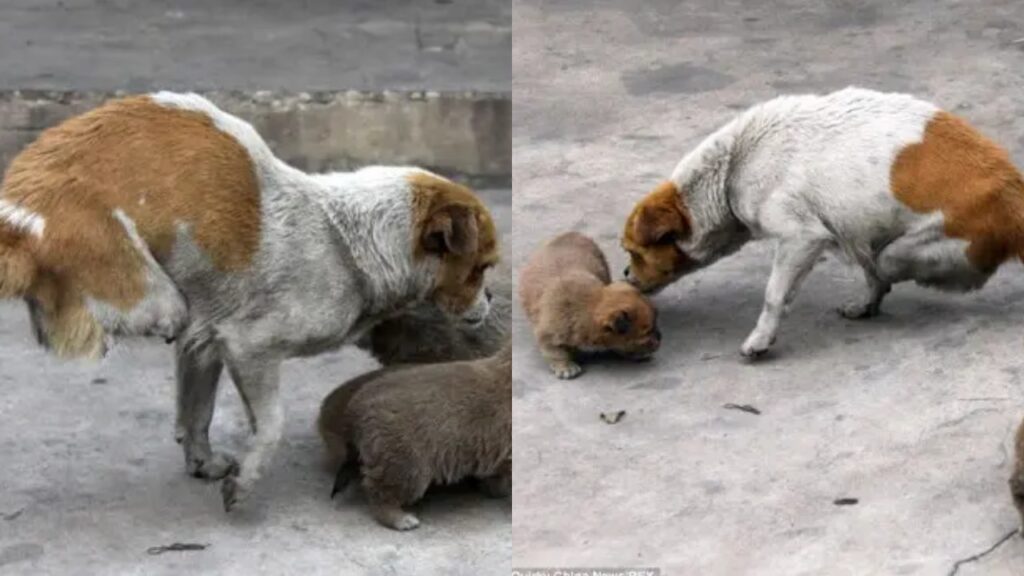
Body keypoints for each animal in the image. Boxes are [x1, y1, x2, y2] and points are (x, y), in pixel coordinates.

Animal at [516, 230, 659, 379]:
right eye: (647, 332)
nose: (660, 338)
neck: (589, 305)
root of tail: (571, 233)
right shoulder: (549, 336)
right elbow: (557, 353)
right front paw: (565, 367)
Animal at [618, 87, 1024, 356]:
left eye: (633, 252)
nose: (623, 275)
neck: (734, 165)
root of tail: (1012, 194)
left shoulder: (801, 238)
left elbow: (774, 295)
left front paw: (761, 338)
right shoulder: (838, 230)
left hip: (924, 248)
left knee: (887, 264)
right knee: (874, 263)